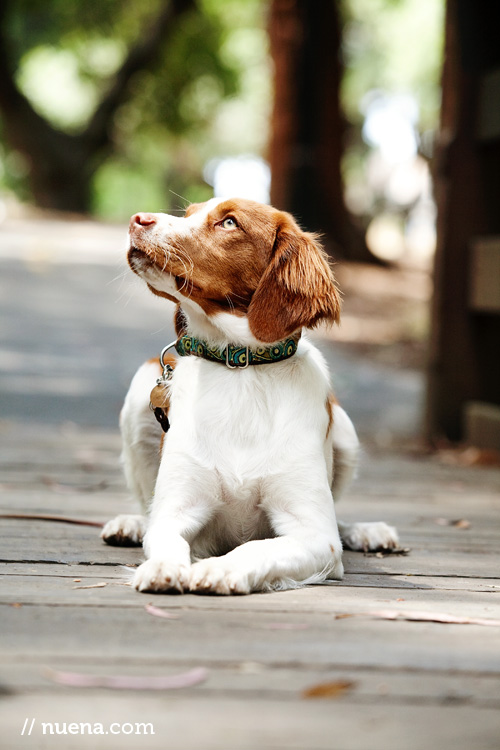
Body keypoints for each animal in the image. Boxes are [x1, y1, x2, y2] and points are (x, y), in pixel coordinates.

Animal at [101, 198, 398, 592]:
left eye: (229, 223)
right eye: (189, 212)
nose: (138, 220)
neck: (240, 370)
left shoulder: (317, 536)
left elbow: (259, 547)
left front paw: (220, 569)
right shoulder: (176, 510)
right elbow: (165, 537)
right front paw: (162, 568)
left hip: (347, 434)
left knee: (339, 521)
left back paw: (368, 532)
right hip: (140, 393)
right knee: (144, 506)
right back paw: (131, 524)